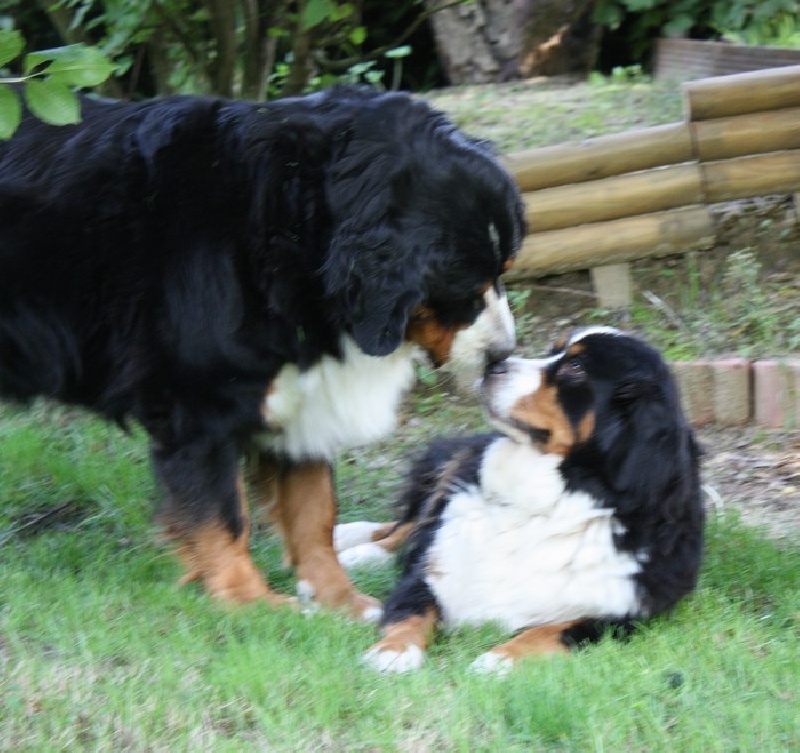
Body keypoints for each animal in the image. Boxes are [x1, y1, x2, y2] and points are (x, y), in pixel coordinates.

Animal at [0, 85, 524, 620]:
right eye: (465, 289)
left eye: (503, 269)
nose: (501, 356)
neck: (293, 232)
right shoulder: (200, 399)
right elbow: (223, 512)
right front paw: (249, 601)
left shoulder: (306, 390)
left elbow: (314, 509)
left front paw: (341, 601)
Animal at [334, 326, 704, 668]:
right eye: (553, 351)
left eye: (576, 368)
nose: (493, 365)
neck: (546, 502)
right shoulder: (436, 568)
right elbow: (413, 608)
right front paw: (392, 652)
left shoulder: (624, 611)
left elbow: (554, 630)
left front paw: (499, 660)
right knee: (410, 523)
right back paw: (357, 549)